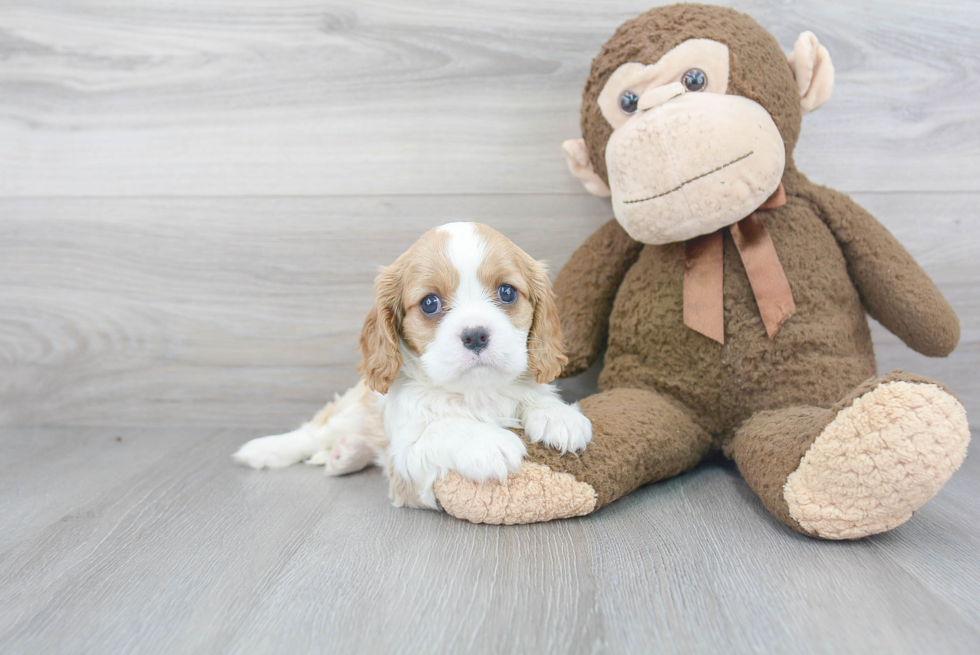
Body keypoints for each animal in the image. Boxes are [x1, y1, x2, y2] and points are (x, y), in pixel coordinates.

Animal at [234, 223, 592, 510]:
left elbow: (536, 397)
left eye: (507, 292)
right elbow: (440, 429)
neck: (476, 393)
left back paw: (344, 455)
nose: (475, 335)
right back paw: (267, 450)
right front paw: (487, 441)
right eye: (430, 303)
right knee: (313, 432)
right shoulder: (406, 463)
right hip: (351, 409)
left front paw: (558, 415)